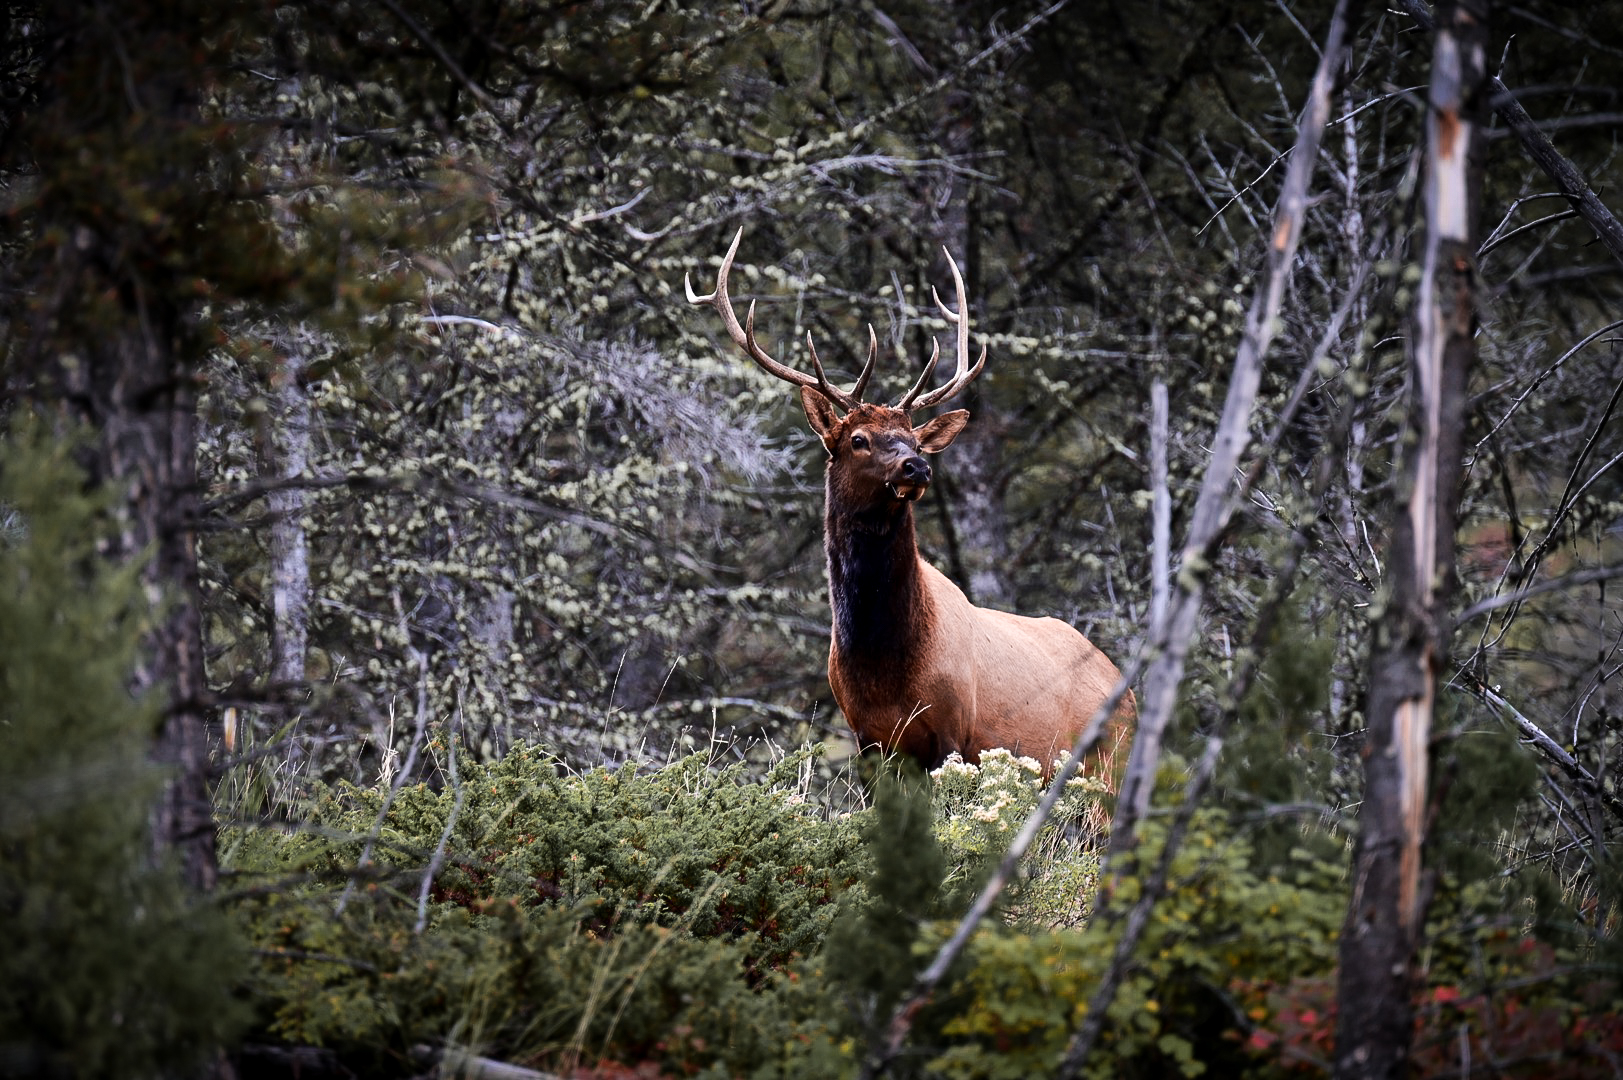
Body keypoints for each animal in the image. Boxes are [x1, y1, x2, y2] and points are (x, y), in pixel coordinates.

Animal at [686, 229, 1134, 783]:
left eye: (915, 441)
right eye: (857, 439)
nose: (916, 468)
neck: (884, 667)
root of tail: (1126, 686)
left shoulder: (954, 729)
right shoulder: (867, 739)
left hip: (1109, 762)